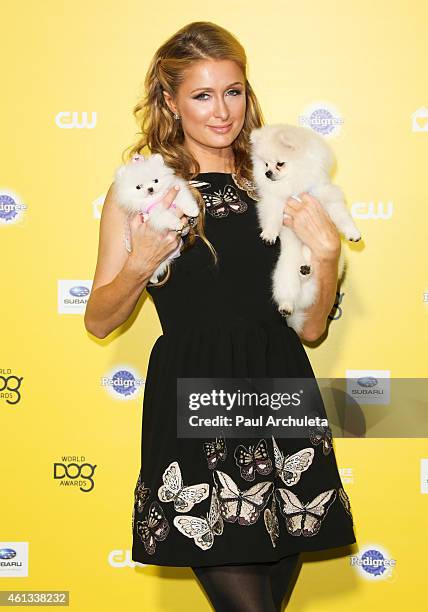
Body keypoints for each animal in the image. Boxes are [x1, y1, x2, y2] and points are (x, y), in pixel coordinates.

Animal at [113, 155, 201, 284]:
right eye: (138, 187)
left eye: (156, 181)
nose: (150, 189)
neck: (158, 198)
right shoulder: (155, 214)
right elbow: (166, 217)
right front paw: (177, 224)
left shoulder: (176, 190)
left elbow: (185, 199)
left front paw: (192, 210)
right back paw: (153, 279)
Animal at [251, 123, 362, 334]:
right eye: (265, 164)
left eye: (280, 163)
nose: (267, 174)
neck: (294, 182)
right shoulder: (274, 201)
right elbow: (273, 217)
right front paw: (269, 234)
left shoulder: (326, 194)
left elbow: (342, 216)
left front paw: (353, 233)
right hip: (285, 274)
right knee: (289, 294)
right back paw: (287, 304)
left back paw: (306, 270)